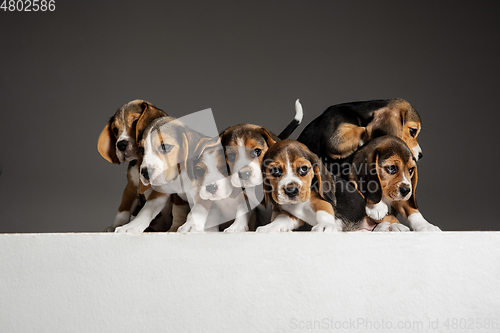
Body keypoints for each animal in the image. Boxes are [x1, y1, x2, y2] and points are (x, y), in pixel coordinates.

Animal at [97, 99, 172, 231]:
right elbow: (123, 209)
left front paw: (131, 227)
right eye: (115, 130)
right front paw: (116, 225)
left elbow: (147, 210)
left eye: (136, 122)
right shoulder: (131, 187)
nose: (120, 145)